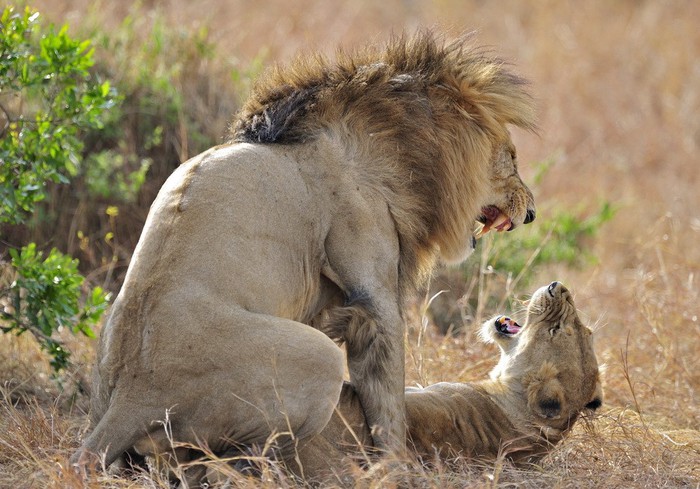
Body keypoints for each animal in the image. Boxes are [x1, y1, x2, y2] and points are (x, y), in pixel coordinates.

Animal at [71, 31, 536, 472]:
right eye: (512, 158)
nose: (531, 213)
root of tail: (130, 397)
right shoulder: (372, 291)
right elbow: (388, 397)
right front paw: (396, 467)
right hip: (319, 360)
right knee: (230, 462)